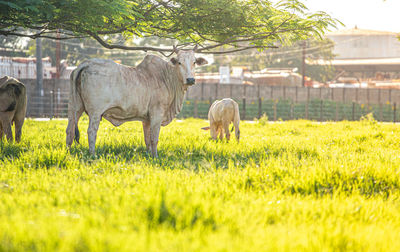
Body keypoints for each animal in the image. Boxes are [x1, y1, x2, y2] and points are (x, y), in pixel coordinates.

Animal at [66, 46, 208, 157]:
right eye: (179, 62)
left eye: (194, 62)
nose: (190, 79)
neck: (166, 77)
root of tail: (87, 63)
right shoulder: (157, 113)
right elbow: (154, 138)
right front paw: (155, 157)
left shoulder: (146, 119)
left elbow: (147, 139)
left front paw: (149, 155)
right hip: (95, 112)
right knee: (91, 131)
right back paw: (93, 155)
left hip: (75, 107)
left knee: (70, 130)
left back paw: (69, 152)